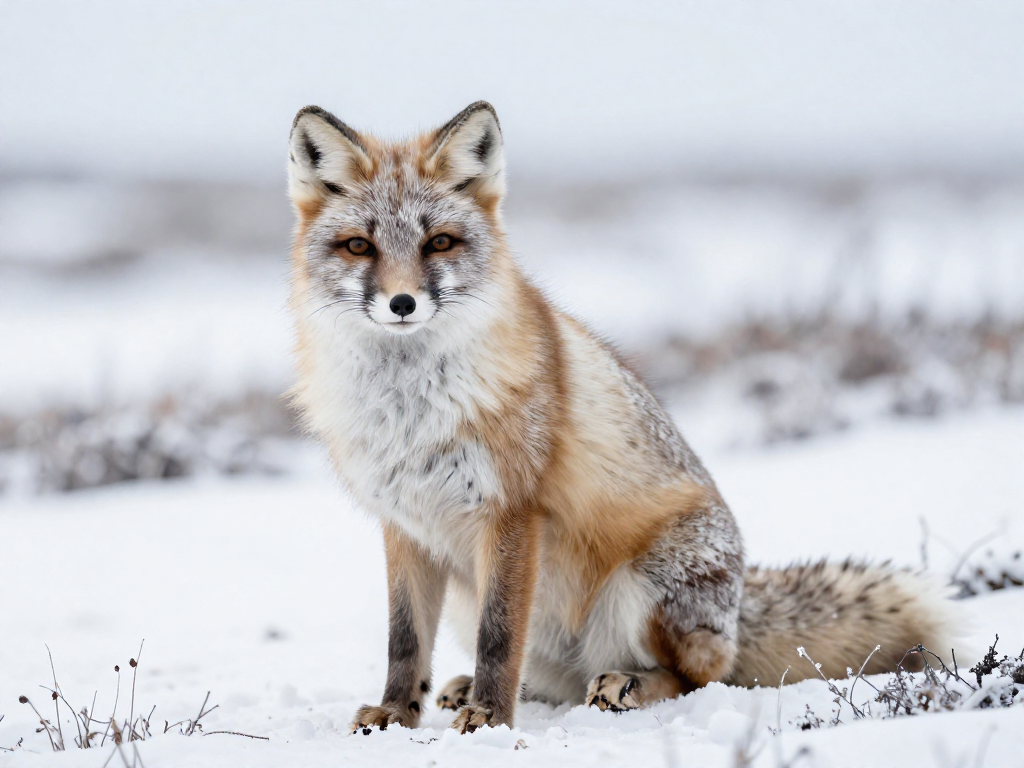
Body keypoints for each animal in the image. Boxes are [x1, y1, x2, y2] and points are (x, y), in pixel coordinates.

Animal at [285, 101, 955, 734]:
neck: (409, 414)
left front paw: (489, 721)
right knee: (550, 677)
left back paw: (624, 685)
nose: (402, 303)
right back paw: (472, 687)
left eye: (439, 243)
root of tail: (738, 608)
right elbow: (404, 641)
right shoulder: (404, 525)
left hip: (643, 589)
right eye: (360, 246)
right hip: (474, 599)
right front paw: (396, 713)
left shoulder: (511, 512)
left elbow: (499, 640)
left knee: (701, 675)